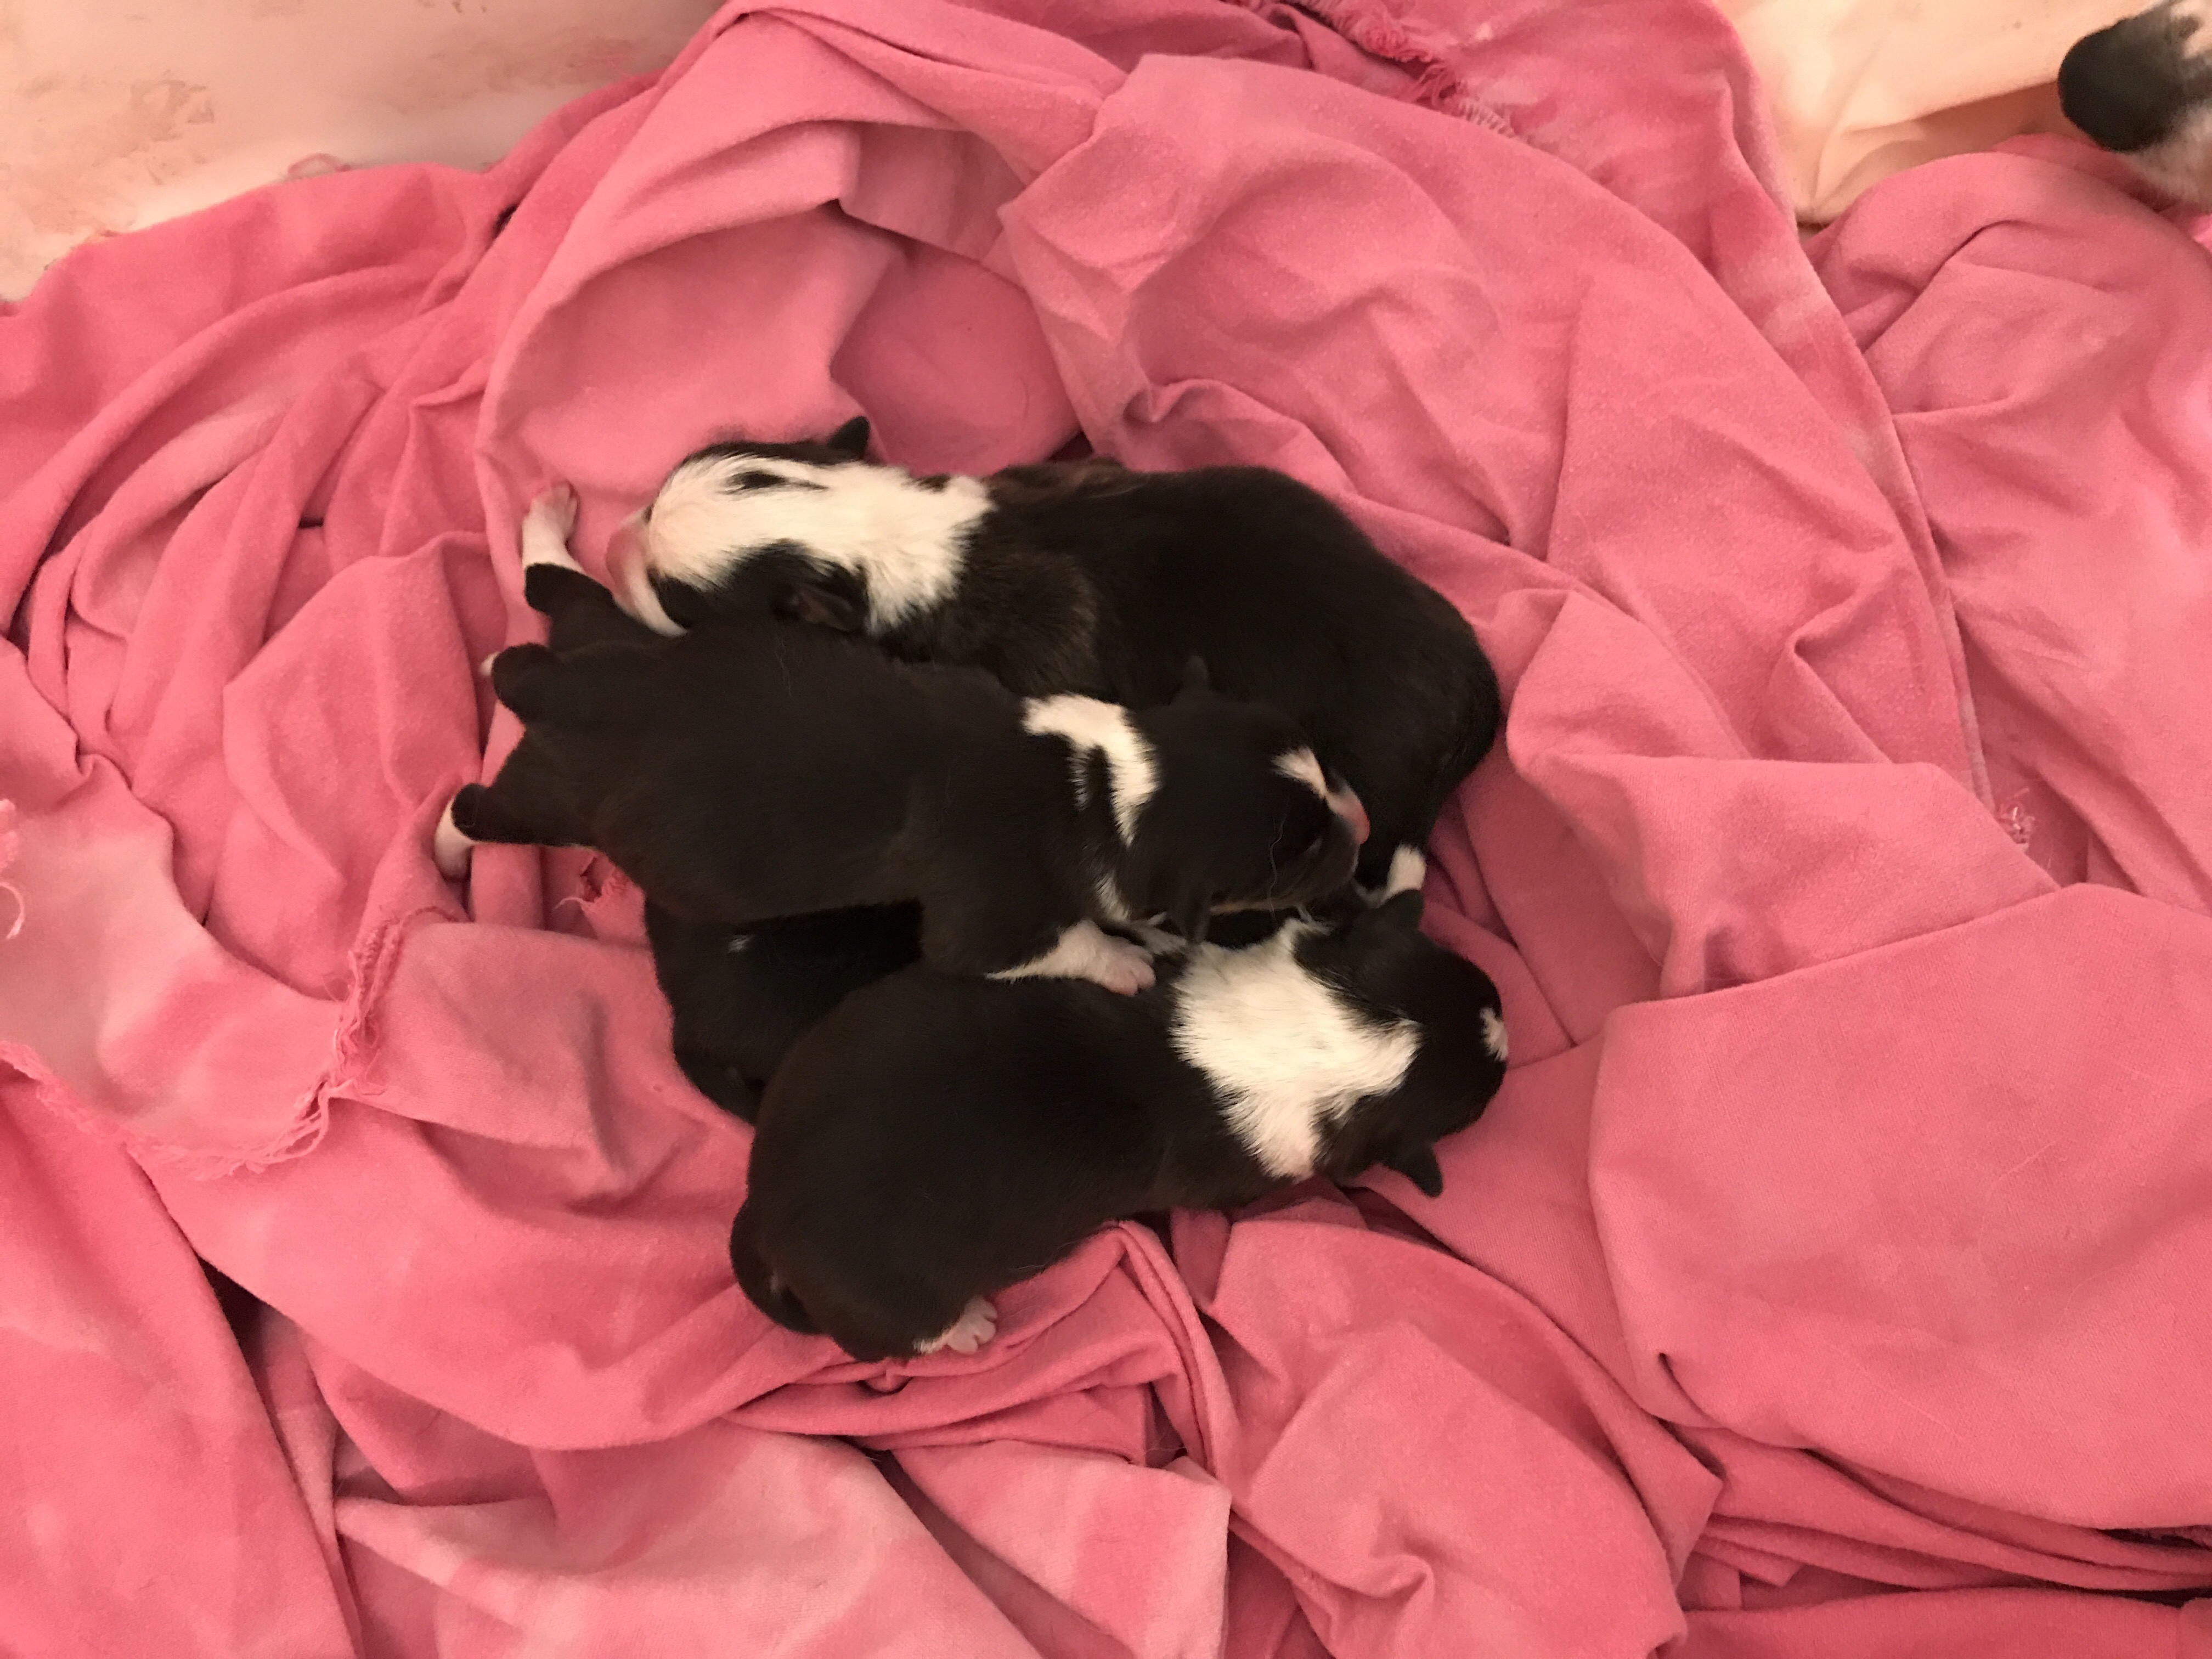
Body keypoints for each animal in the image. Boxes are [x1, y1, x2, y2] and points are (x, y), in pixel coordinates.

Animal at [434, 489, 1366, 995]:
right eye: (1300, 855)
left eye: (1320, 763)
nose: (1361, 827)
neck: (1108, 783)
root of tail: (553, 688)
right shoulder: (988, 924)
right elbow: (1064, 942)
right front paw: (1127, 964)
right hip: (548, 799)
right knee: (475, 806)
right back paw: (446, 854)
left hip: (616, 632)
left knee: (555, 587)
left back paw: (544, 528)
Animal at [728, 855, 1510, 1362]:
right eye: (1475, 1103)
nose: (1507, 1027)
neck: (1303, 1037)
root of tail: (761, 1208)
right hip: (895, 1297)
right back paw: (970, 1328)